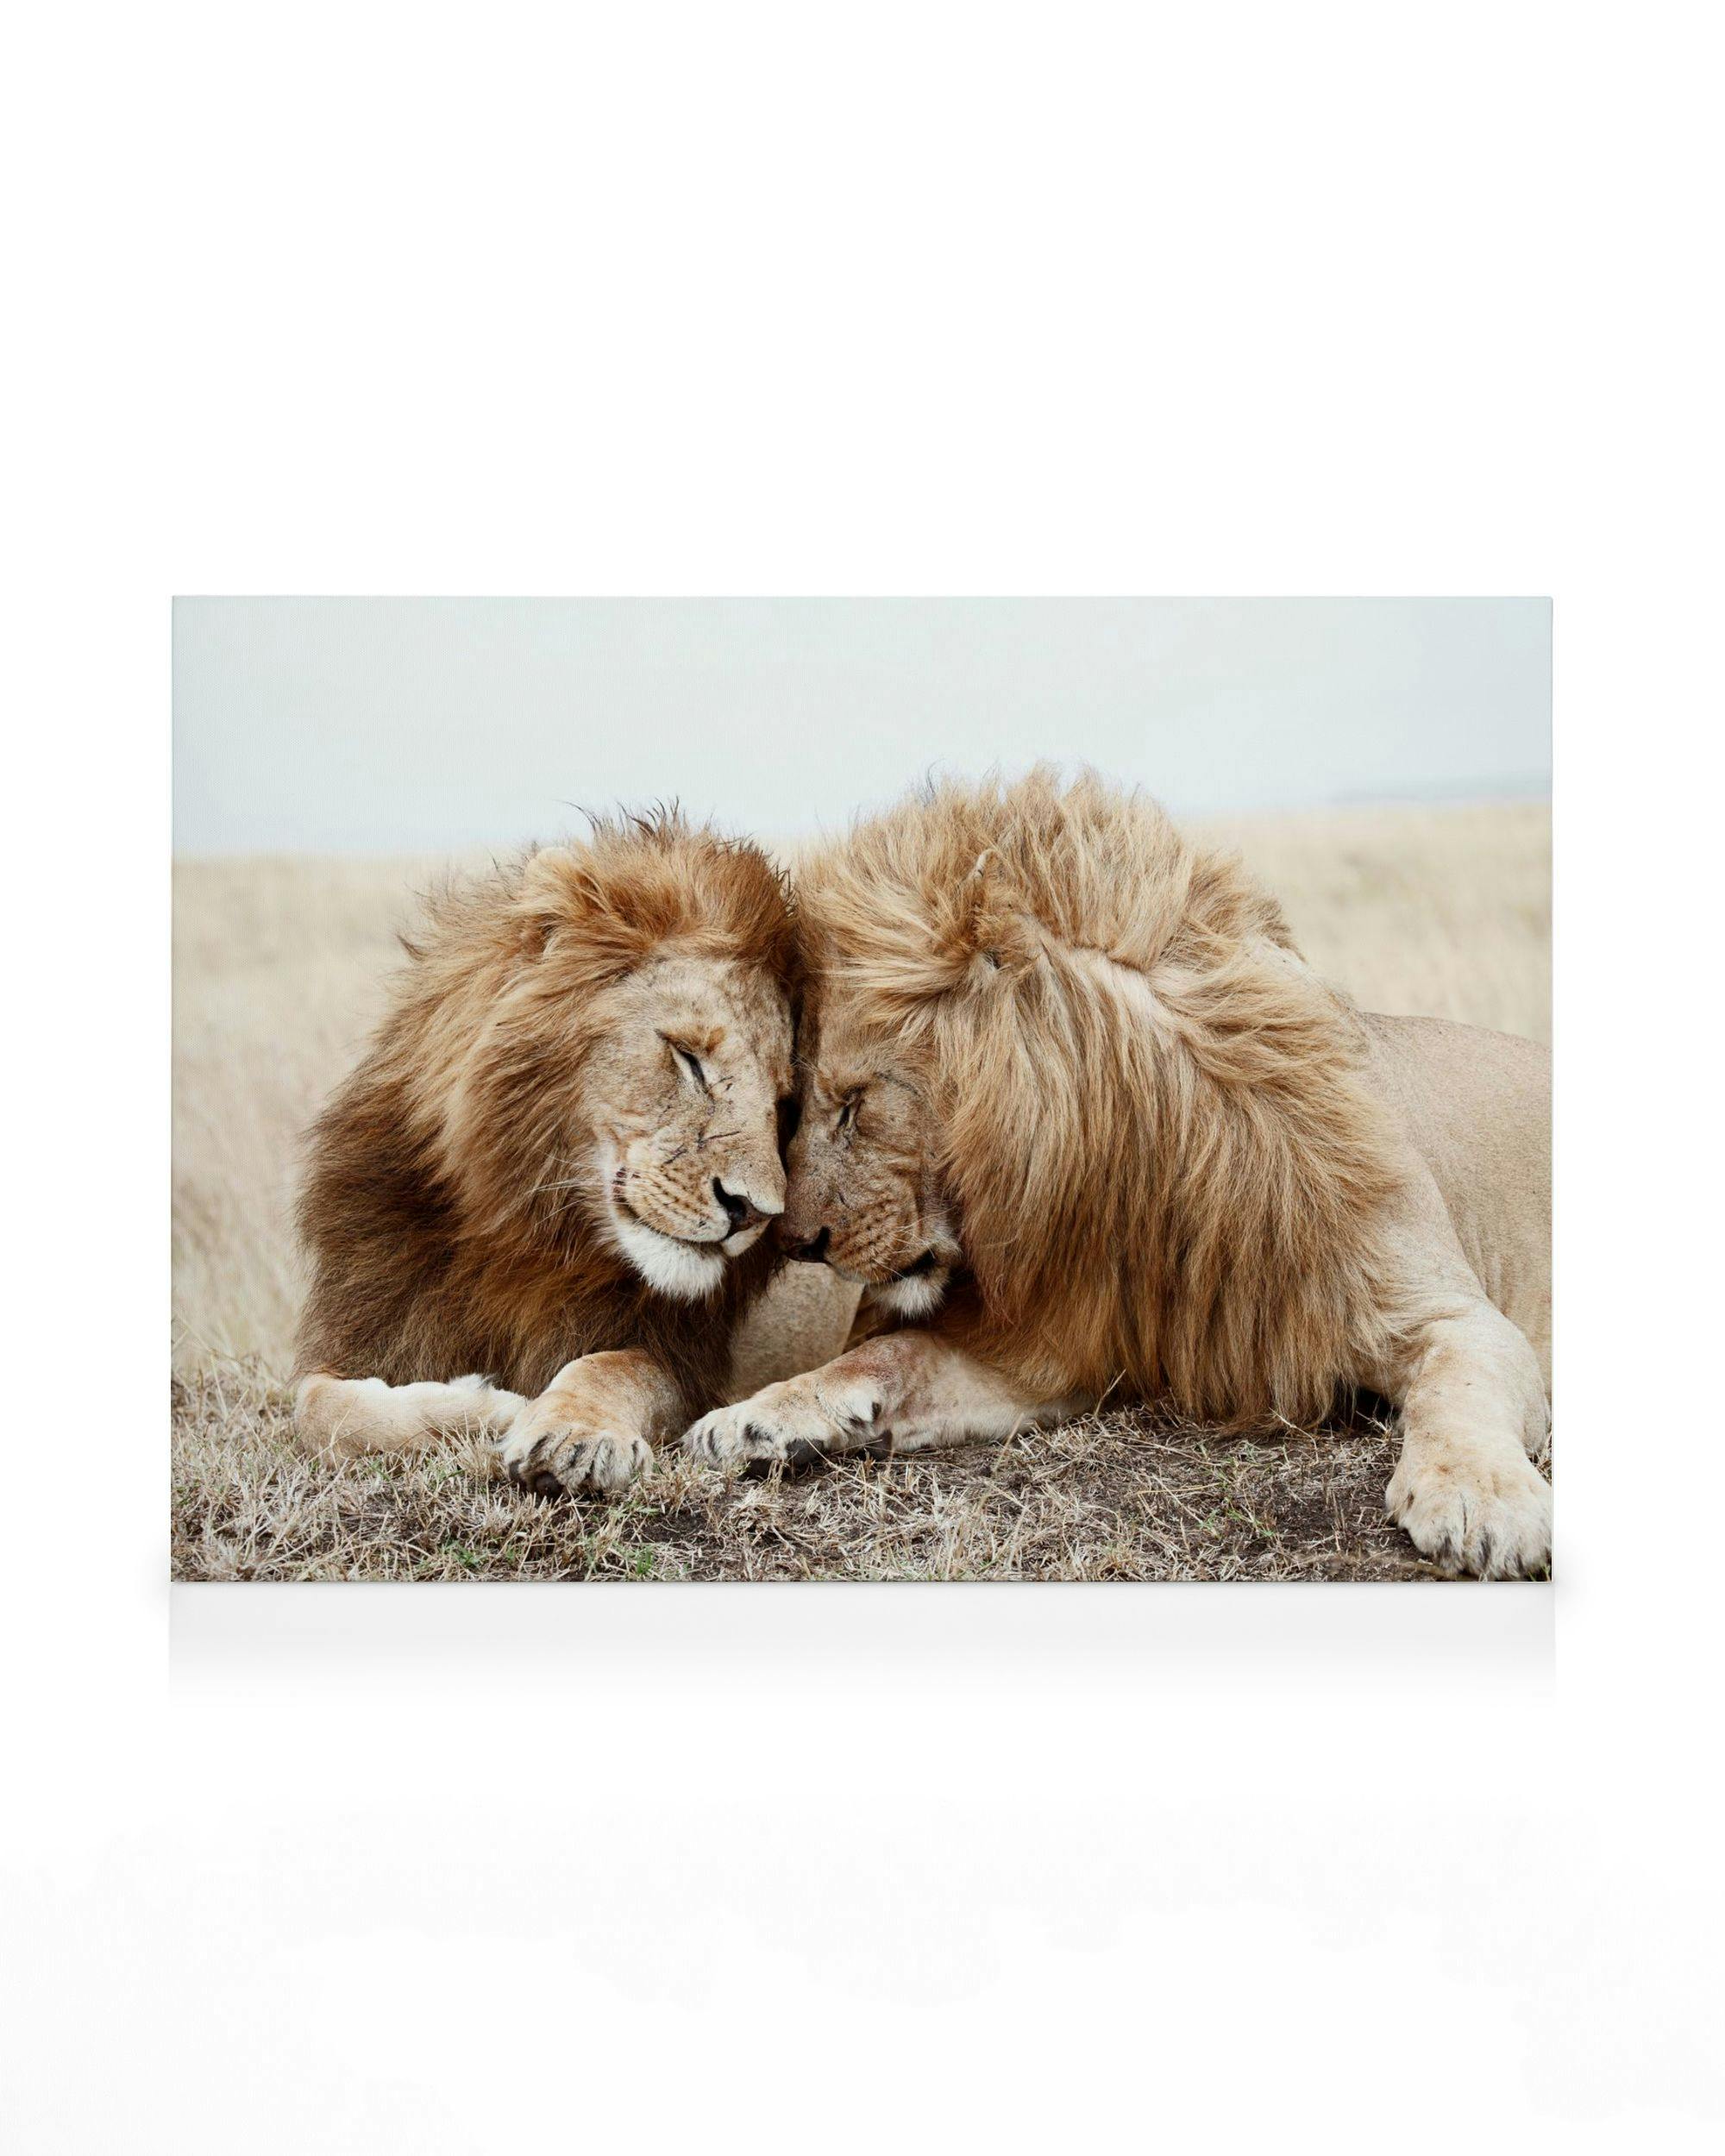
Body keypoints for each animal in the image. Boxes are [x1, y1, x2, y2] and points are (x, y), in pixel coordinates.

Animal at [293, 810, 800, 1497]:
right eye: (688, 1058)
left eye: (783, 1102)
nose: (755, 1212)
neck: (528, 1230)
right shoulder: (365, 1328)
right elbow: (317, 1409)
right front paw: (484, 1408)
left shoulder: (680, 1357)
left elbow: (610, 1366)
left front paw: (570, 1434)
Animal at [685, 770, 1552, 1580]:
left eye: (855, 1104)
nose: (796, 1242)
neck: (1140, 1161)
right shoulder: (1056, 1347)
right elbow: (889, 1355)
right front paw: (754, 1418)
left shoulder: (1449, 1314)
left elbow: (1462, 1390)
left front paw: (1482, 1502)